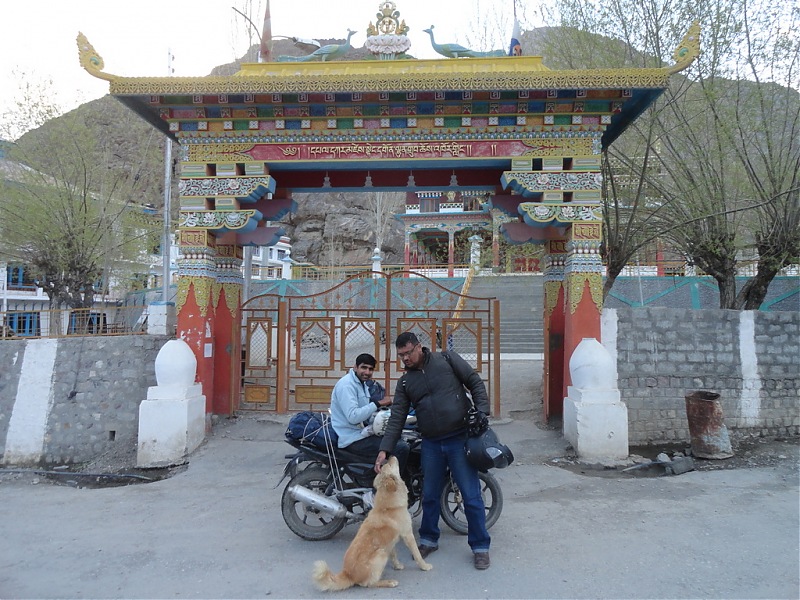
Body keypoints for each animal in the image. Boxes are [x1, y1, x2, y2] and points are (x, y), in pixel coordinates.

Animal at [312, 454, 434, 592]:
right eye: (389, 465)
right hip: (380, 555)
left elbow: (394, 554)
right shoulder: (408, 535)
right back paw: (389, 582)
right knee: (369, 584)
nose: (389, 456)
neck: (387, 507)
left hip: (383, 551)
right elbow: (417, 554)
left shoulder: (391, 542)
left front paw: (397, 565)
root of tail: (348, 574)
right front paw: (424, 566)